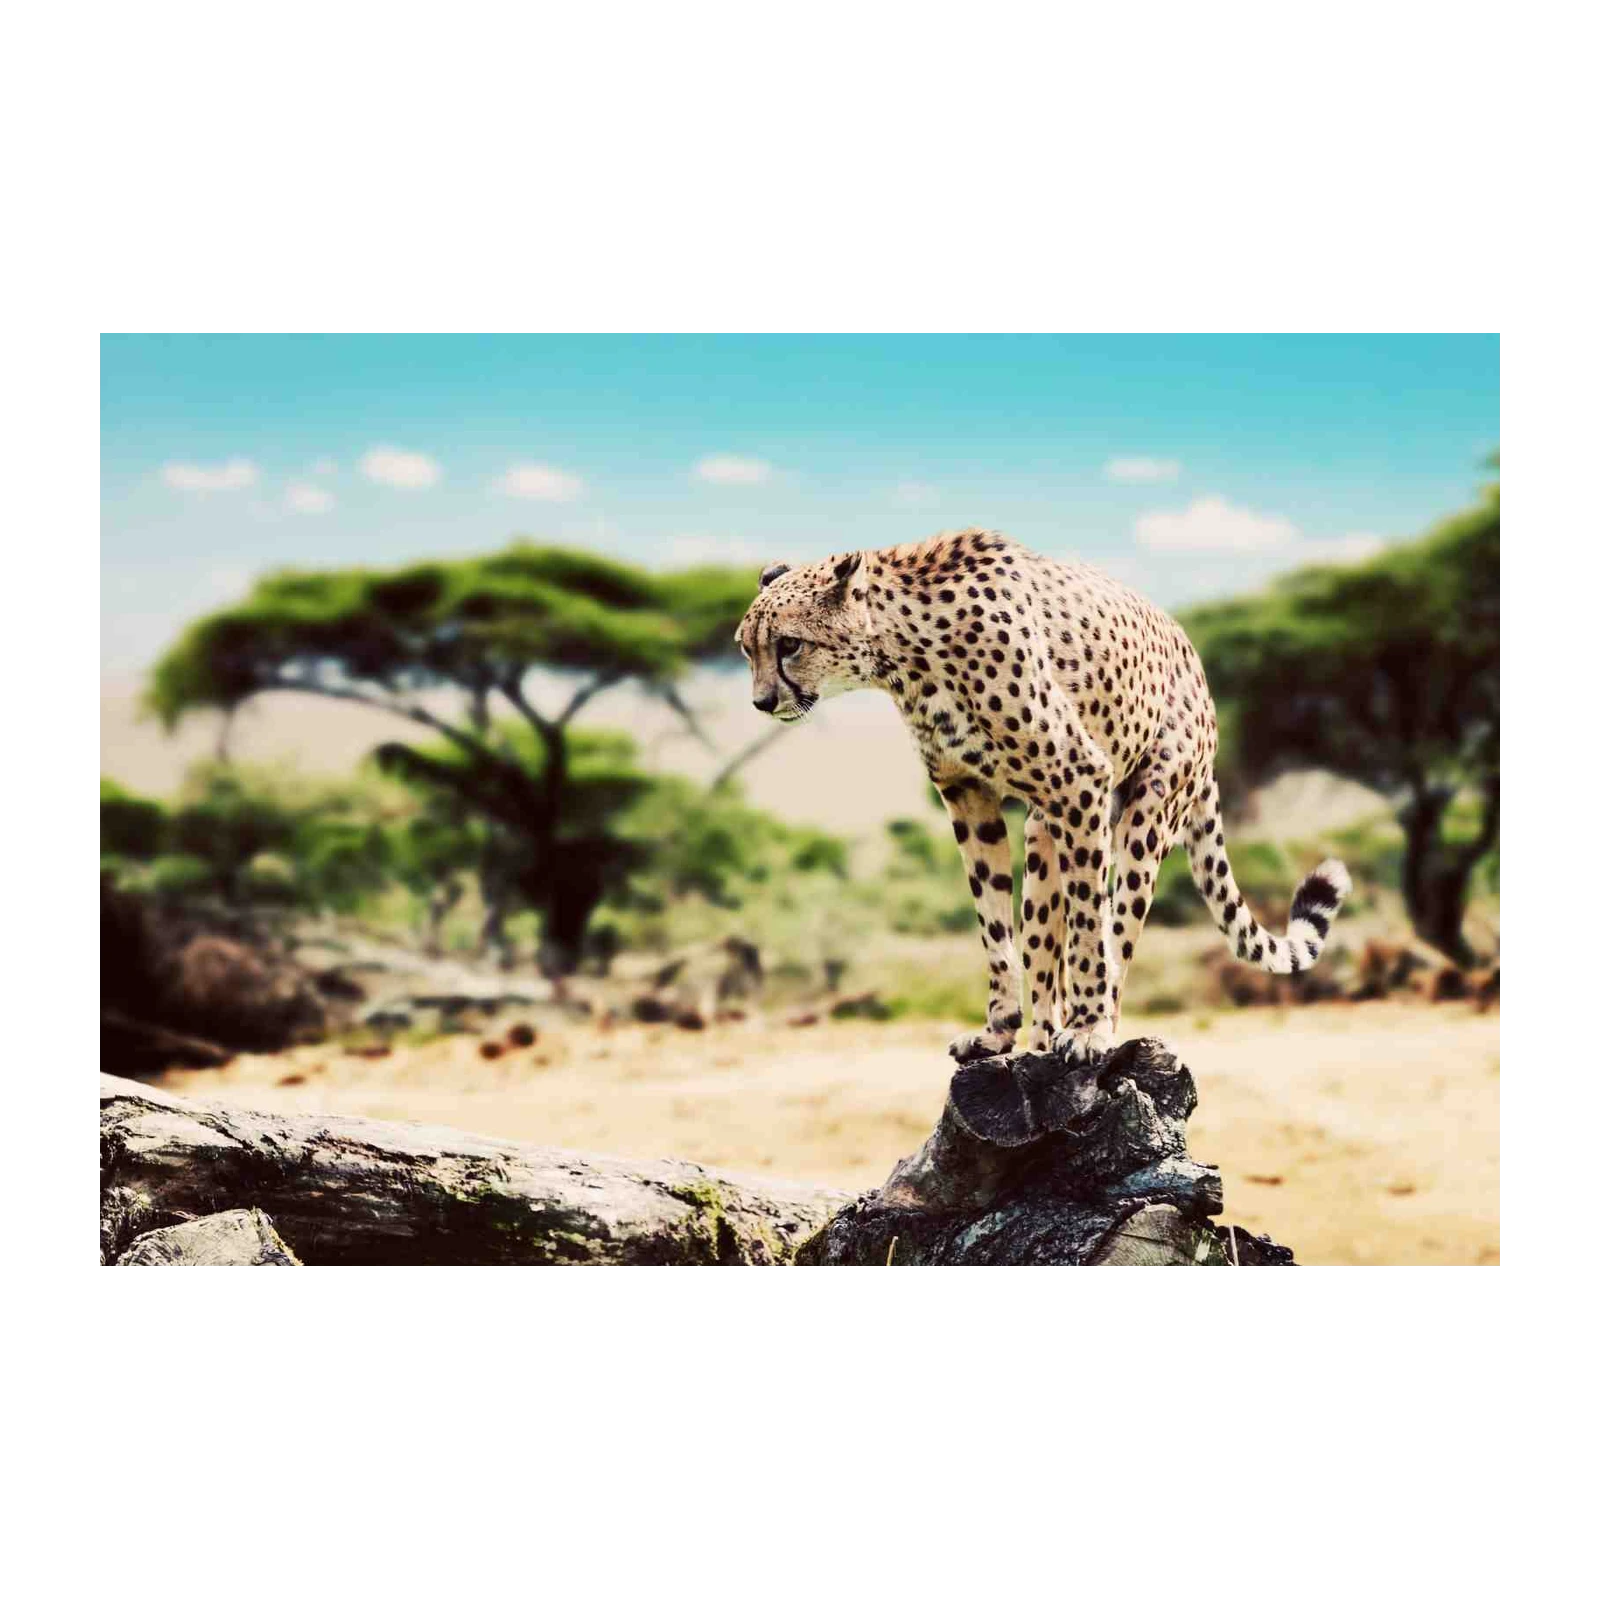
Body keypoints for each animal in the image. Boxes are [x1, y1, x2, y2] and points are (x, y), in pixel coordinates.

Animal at [735, 527, 1352, 1067]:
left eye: (790, 644)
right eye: (746, 650)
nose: (762, 703)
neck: (904, 653)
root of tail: (1196, 662)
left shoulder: (1080, 778)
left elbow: (1088, 927)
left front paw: (1088, 1029)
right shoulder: (968, 795)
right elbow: (995, 923)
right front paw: (998, 1031)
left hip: (1145, 810)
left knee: (1117, 926)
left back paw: (1097, 1025)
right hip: (1042, 828)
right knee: (1042, 930)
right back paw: (1042, 1037)